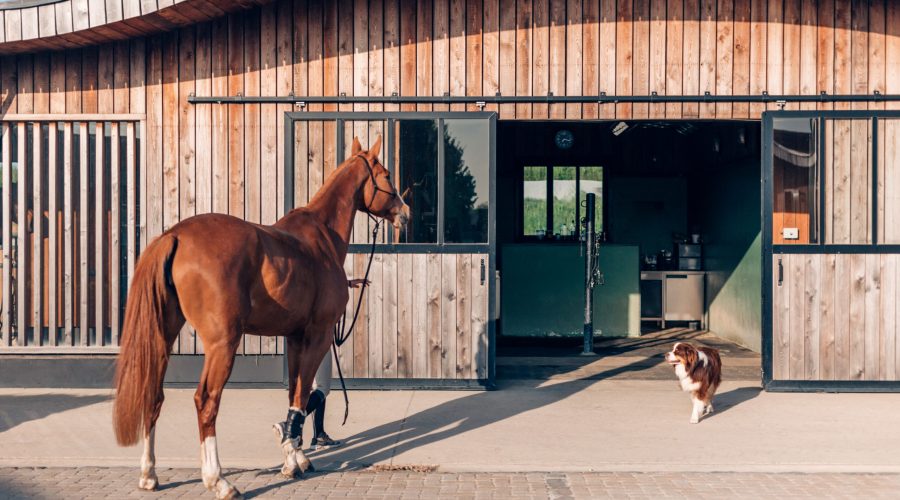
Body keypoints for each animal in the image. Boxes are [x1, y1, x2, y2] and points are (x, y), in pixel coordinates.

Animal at [113, 136, 409, 499]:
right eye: (386, 174)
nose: (404, 213)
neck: (322, 238)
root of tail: (176, 236)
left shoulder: (295, 337)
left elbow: (295, 394)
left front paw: (295, 455)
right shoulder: (319, 335)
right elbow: (301, 394)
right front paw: (292, 461)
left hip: (163, 337)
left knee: (153, 395)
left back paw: (149, 474)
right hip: (223, 344)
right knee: (206, 401)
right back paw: (218, 480)